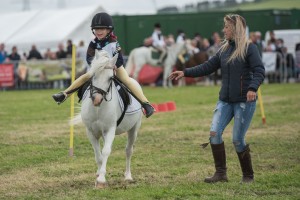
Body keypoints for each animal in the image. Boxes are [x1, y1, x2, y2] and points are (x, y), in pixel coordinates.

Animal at [72, 49, 143, 188]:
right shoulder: (91, 132)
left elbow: (105, 152)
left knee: (128, 151)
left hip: (134, 129)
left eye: (110, 78)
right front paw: (98, 175)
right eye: (93, 75)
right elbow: (98, 155)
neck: (98, 109)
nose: (97, 99)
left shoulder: (110, 130)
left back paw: (128, 176)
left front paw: (101, 180)